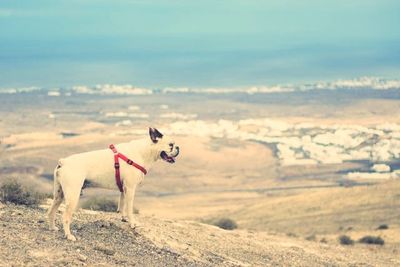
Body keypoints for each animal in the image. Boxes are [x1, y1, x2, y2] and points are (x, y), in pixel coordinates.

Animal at [46, 128, 179, 243]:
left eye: (174, 145)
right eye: (171, 145)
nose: (178, 148)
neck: (145, 151)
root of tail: (64, 162)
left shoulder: (124, 189)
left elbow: (122, 205)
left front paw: (124, 218)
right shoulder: (130, 189)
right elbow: (129, 208)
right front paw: (132, 223)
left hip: (59, 195)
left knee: (51, 212)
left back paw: (52, 228)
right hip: (73, 196)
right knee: (65, 217)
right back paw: (69, 235)